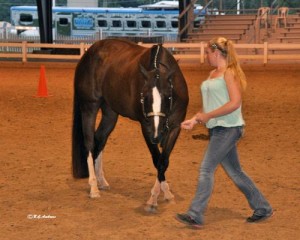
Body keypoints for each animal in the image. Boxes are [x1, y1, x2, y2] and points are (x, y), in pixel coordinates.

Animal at [72, 38, 189, 209]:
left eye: (168, 96)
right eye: (144, 96)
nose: (157, 136)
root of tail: (88, 53)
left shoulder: (175, 128)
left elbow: (163, 161)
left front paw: (166, 193)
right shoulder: (146, 128)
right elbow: (157, 160)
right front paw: (154, 197)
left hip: (110, 113)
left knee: (99, 140)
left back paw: (101, 181)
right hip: (89, 107)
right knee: (89, 143)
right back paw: (93, 187)